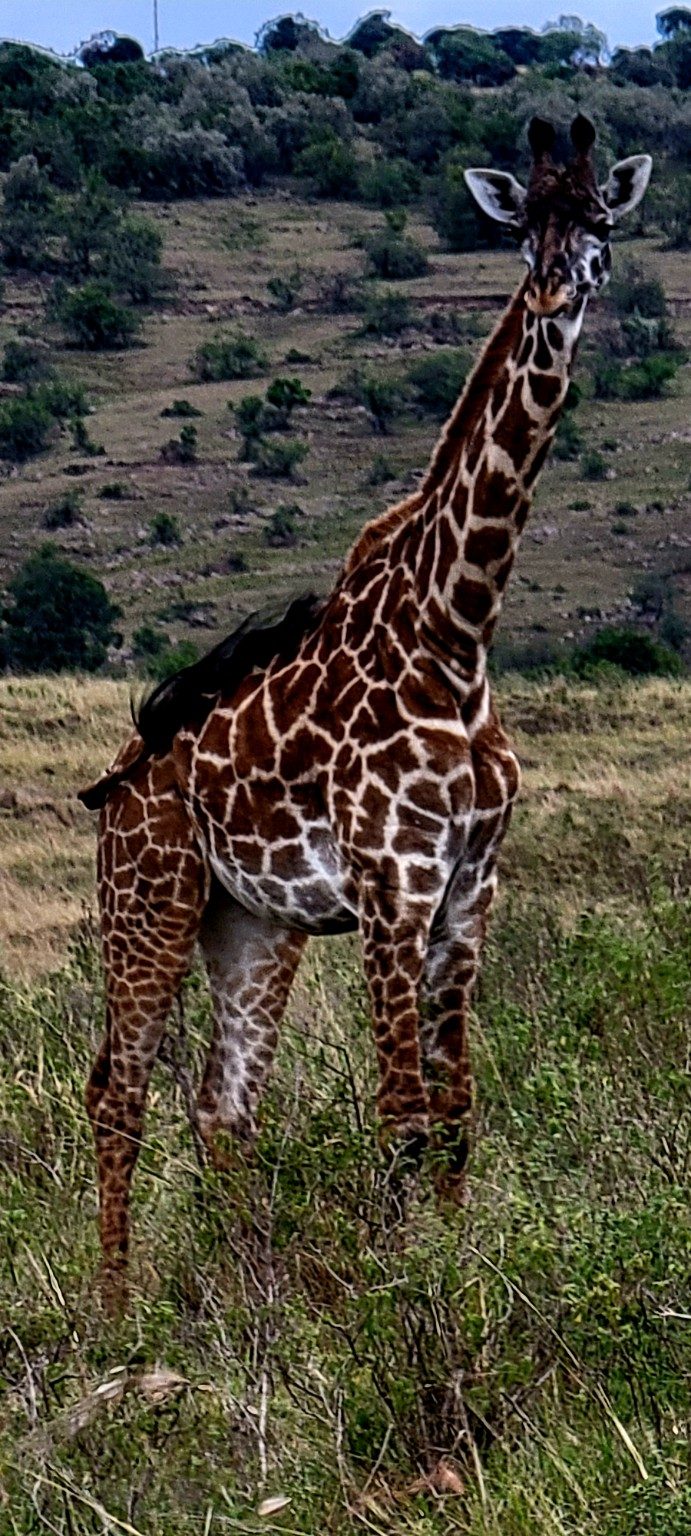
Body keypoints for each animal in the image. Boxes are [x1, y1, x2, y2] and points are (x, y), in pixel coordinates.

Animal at [80, 116, 651, 1300]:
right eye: (522, 226)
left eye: (601, 221)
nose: (559, 287)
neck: (456, 632)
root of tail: (122, 771)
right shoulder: (395, 889)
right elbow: (400, 1120)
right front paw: (407, 1304)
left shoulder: (469, 893)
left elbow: (458, 1117)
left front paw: (456, 1281)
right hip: (146, 902)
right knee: (120, 1092)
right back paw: (117, 1317)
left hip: (252, 924)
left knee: (223, 1107)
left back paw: (243, 1297)